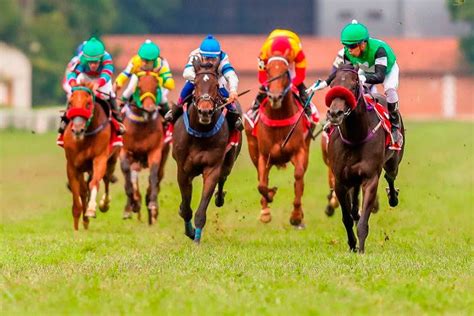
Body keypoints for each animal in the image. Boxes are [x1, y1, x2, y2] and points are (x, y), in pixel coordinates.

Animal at [63, 82, 119, 230]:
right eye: (70, 103)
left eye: (88, 104)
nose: (77, 129)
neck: (85, 138)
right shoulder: (72, 166)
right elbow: (77, 197)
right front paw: (76, 230)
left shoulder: (100, 159)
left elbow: (95, 183)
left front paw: (91, 209)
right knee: (83, 189)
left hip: (112, 159)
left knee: (106, 179)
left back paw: (104, 204)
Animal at [119, 71, 169, 225]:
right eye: (139, 87)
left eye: (156, 87)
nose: (150, 108)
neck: (141, 126)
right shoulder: (125, 151)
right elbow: (127, 175)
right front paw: (133, 204)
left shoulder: (155, 151)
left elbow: (153, 175)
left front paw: (151, 203)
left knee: (158, 177)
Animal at [171, 58, 241, 243]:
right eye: (195, 84)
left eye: (216, 85)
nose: (205, 111)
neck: (200, 133)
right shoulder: (183, 170)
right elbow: (186, 207)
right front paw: (189, 229)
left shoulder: (212, 168)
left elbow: (202, 209)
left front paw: (196, 239)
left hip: (229, 161)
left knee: (223, 177)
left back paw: (219, 198)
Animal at [244, 52, 312, 227]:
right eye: (267, 71)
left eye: (285, 72)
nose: (274, 97)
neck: (278, 117)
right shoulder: (263, 155)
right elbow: (261, 184)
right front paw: (268, 203)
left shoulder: (299, 151)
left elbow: (298, 176)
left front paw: (296, 215)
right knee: (262, 178)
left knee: (300, 179)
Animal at [326, 64, 404, 254]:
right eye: (332, 84)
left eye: (353, 85)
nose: (335, 113)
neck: (355, 136)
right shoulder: (340, 180)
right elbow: (347, 218)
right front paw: (352, 245)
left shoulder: (370, 179)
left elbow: (363, 222)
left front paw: (360, 250)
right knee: (354, 205)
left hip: (393, 162)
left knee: (390, 176)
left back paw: (393, 196)